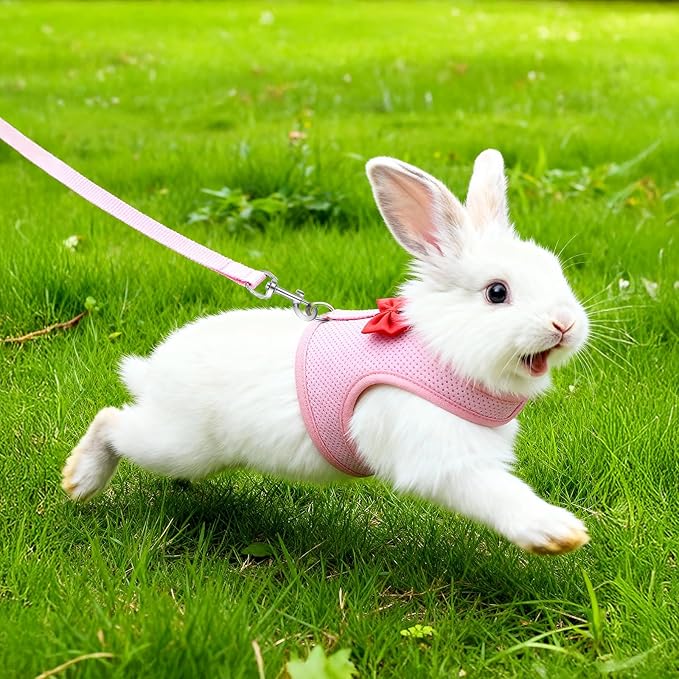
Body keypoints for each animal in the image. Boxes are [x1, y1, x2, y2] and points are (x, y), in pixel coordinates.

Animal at [62, 149, 590, 555]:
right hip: (179, 443)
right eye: (497, 293)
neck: (441, 348)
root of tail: (152, 370)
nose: (565, 324)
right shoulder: (441, 459)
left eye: (555, 269)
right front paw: (559, 533)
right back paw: (79, 480)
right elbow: (496, 493)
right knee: (112, 421)